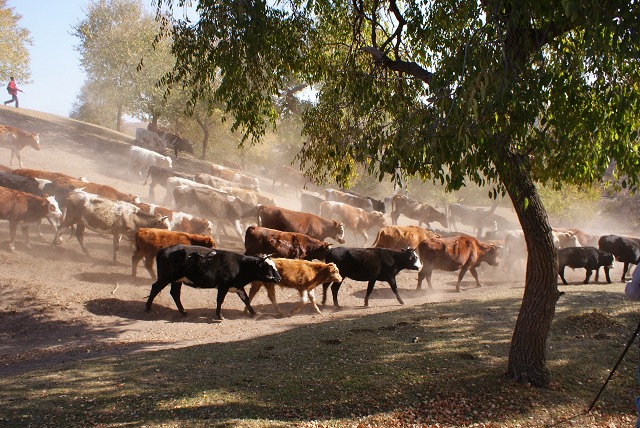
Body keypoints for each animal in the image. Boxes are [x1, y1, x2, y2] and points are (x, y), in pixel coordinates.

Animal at [149, 246, 284, 320]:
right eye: (267, 267)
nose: (279, 278)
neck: (240, 265)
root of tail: (164, 250)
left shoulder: (238, 286)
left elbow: (246, 299)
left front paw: (254, 314)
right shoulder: (223, 285)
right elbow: (220, 300)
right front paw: (219, 316)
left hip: (177, 280)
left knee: (175, 293)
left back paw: (183, 312)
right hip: (166, 278)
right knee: (155, 288)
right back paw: (148, 309)